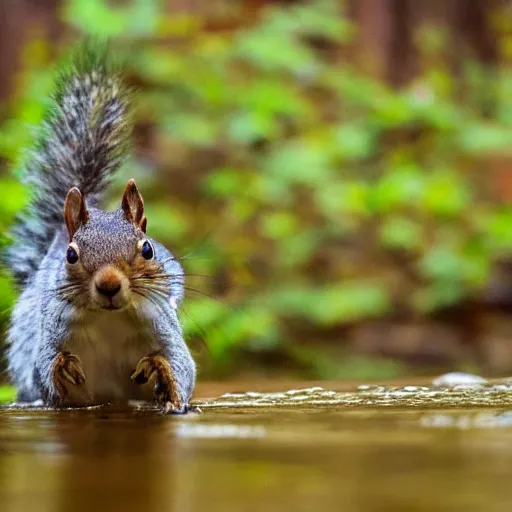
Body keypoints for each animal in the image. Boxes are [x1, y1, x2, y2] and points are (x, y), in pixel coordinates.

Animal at [3, 43, 196, 412]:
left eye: (147, 249)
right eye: (71, 255)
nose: (108, 285)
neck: (109, 320)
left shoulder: (163, 328)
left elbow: (182, 368)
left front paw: (165, 378)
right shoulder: (53, 338)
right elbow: (50, 379)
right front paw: (61, 369)